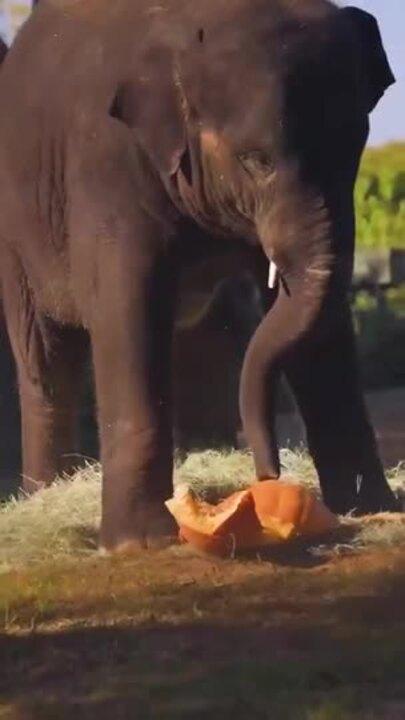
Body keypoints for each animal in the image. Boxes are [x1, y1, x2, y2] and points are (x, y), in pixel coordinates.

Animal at [0, 0, 398, 552]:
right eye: (257, 160)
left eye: (354, 148)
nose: (269, 473)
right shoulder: (106, 162)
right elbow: (129, 309)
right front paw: (140, 544)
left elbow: (319, 329)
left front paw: (370, 509)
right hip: (17, 234)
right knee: (45, 359)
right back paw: (47, 499)